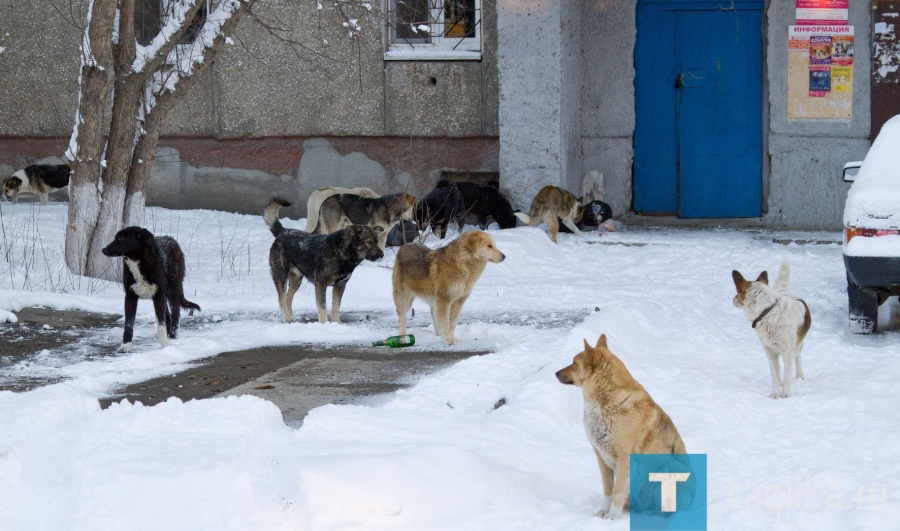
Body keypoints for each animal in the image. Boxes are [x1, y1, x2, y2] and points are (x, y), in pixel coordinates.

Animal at [556, 334, 688, 520]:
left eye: (574, 362)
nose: (555, 373)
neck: (605, 402)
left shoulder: (624, 459)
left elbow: (617, 491)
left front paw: (612, 516)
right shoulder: (601, 458)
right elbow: (608, 490)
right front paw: (604, 512)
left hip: (669, 471)